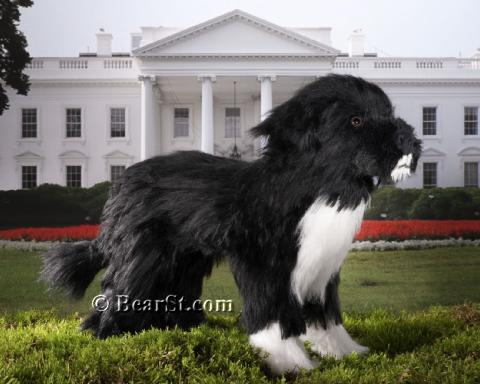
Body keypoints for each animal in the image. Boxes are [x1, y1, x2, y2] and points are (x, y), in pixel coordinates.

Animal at [43, 73, 422, 374]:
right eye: (356, 121)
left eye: (389, 113)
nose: (408, 140)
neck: (318, 187)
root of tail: (120, 184)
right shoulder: (264, 264)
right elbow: (271, 314)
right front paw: (289, 362)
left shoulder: (322, 268)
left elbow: (327, 316)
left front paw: (344, 352)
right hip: (142, 258)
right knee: (116, 293)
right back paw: (107, 335)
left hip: (183, 261)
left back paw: (180, 328)